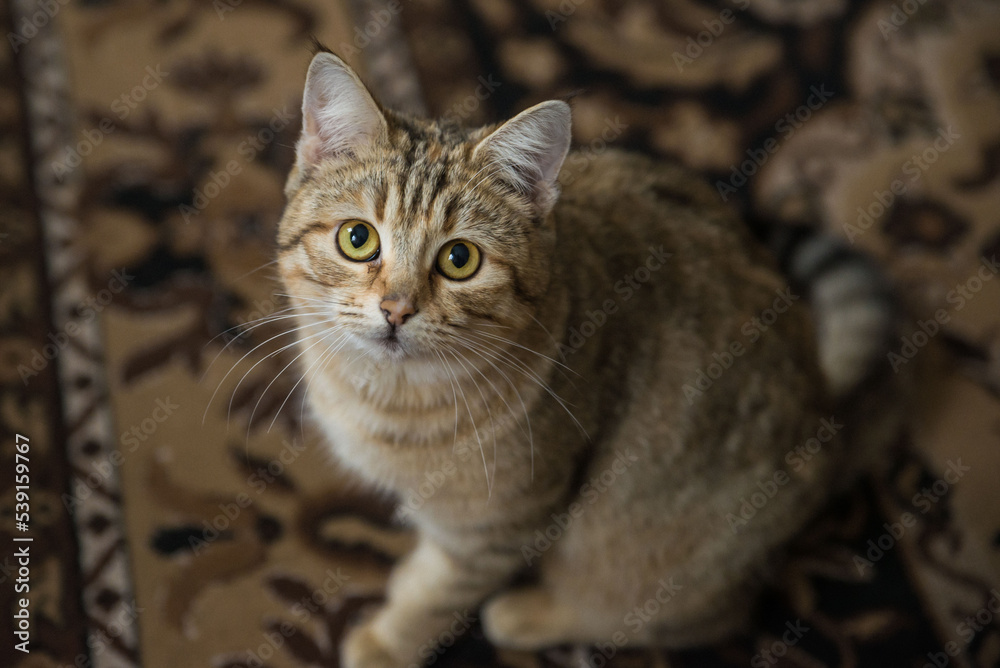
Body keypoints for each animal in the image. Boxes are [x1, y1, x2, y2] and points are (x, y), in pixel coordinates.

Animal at [276, 48, 900, 668]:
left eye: (459, 259)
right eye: (358, 238)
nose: (396, 309)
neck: (383, 392)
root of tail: (825, 407)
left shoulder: (499, 525)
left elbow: (438, 592)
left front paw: (388, 640)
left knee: (670, 616)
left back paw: (532, 613)